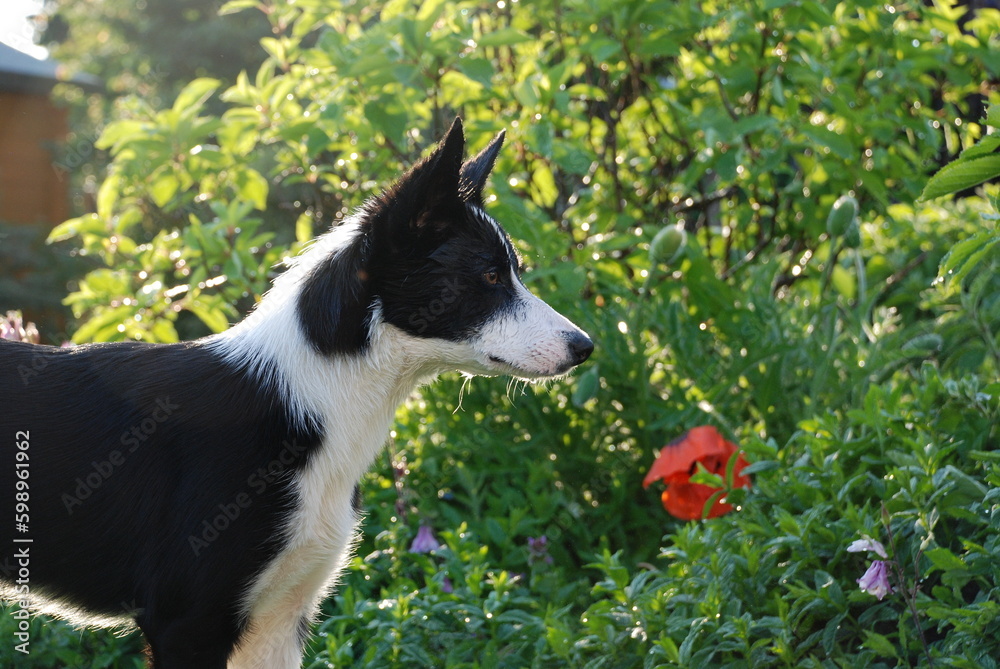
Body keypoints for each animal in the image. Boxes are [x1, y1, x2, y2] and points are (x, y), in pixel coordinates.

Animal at [0, 117, 588, 664]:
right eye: (489, 277)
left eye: (512, 272)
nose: (585, 347)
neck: (308, 401)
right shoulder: (187, 623)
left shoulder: (278, 622)